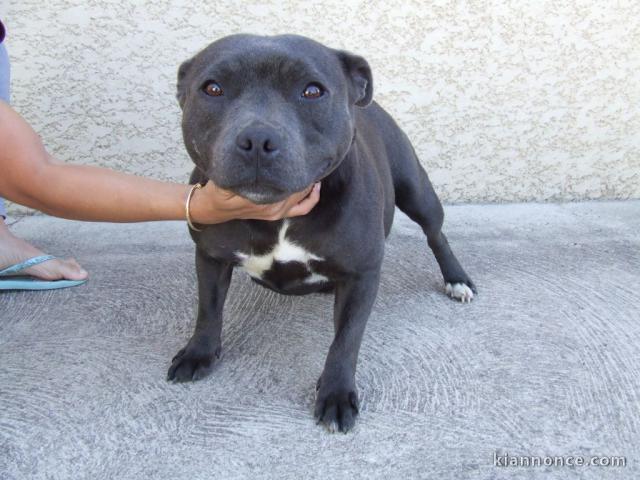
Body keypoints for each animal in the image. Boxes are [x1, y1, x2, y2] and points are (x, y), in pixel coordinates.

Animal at [168, 33, 478, 432]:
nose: (257, 139)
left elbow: (346, 340)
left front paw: (336, 394)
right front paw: (199, 353)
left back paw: (457, 279)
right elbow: (208, 309)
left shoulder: (362, 275)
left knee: (435, 234)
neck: (278, 215)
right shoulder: (210, 255)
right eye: (213, 88)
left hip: (417, 191)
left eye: (312, 91)